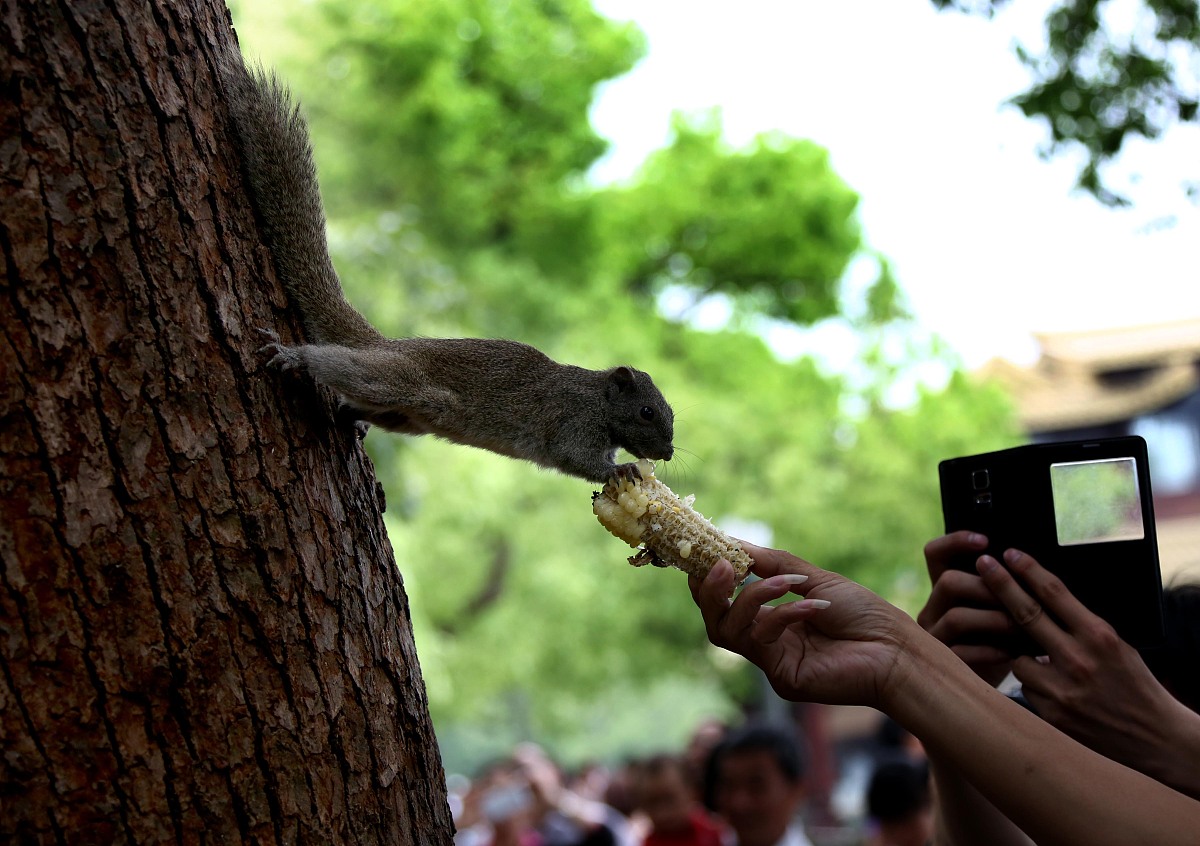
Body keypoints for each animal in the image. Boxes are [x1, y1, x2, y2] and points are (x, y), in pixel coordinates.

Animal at [219, 52, 672, 482]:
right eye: (647, 412)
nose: (667, 453)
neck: (597, 399)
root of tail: (386, 345)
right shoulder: (573, 424)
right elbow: (576, 458)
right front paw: (621, 470)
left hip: (408, 417)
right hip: (402, 384)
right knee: (345, 368)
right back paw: (293, 355)